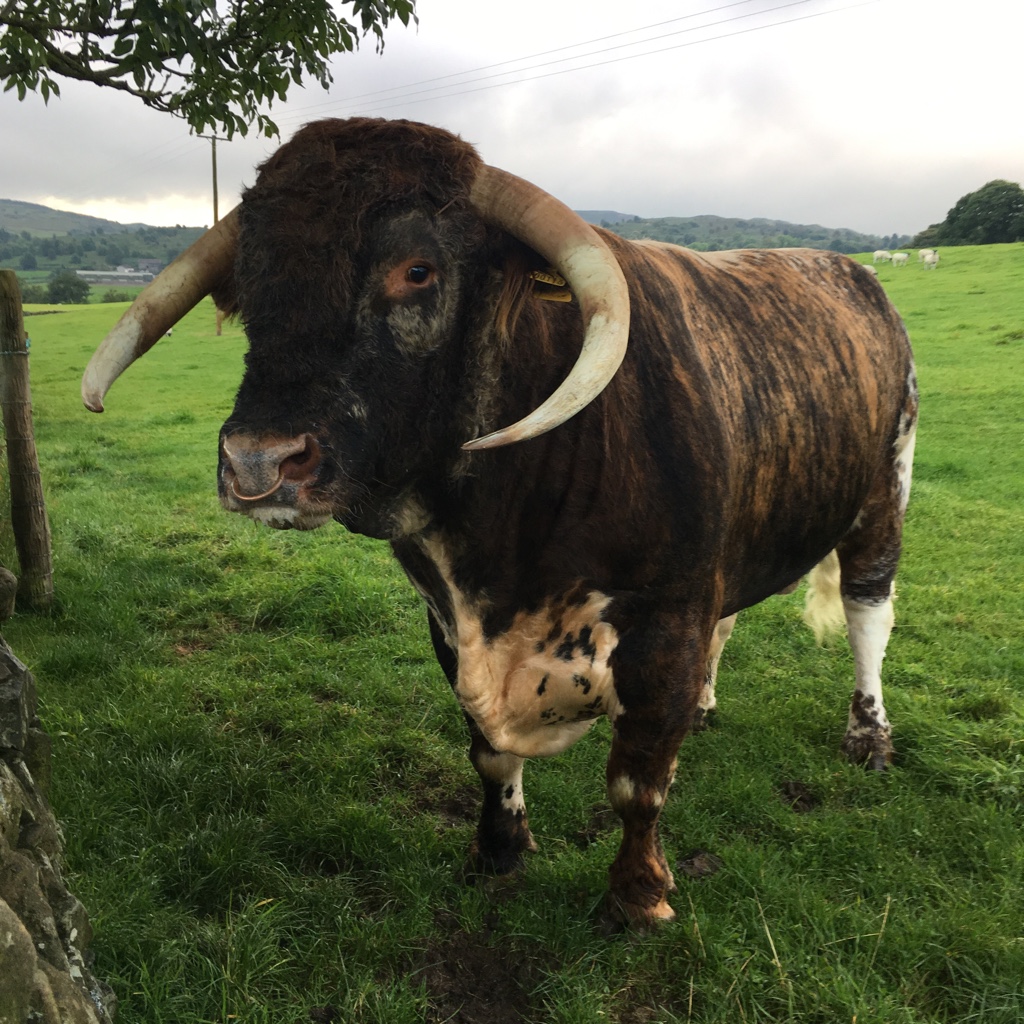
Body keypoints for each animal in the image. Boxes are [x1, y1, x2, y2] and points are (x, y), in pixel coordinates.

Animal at [82, 117, 918, 930]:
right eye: (253, 276)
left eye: (418, 270)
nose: (258, 460)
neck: (505, 535)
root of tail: (850, 272)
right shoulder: (450, 624)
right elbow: (489, 754)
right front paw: (500, 846)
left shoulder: (667, 620)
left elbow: (638, 783)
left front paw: (637, 895)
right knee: (734, 620)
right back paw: (712, 709)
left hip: (886, 491)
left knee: (868, 613)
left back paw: (869, 735)